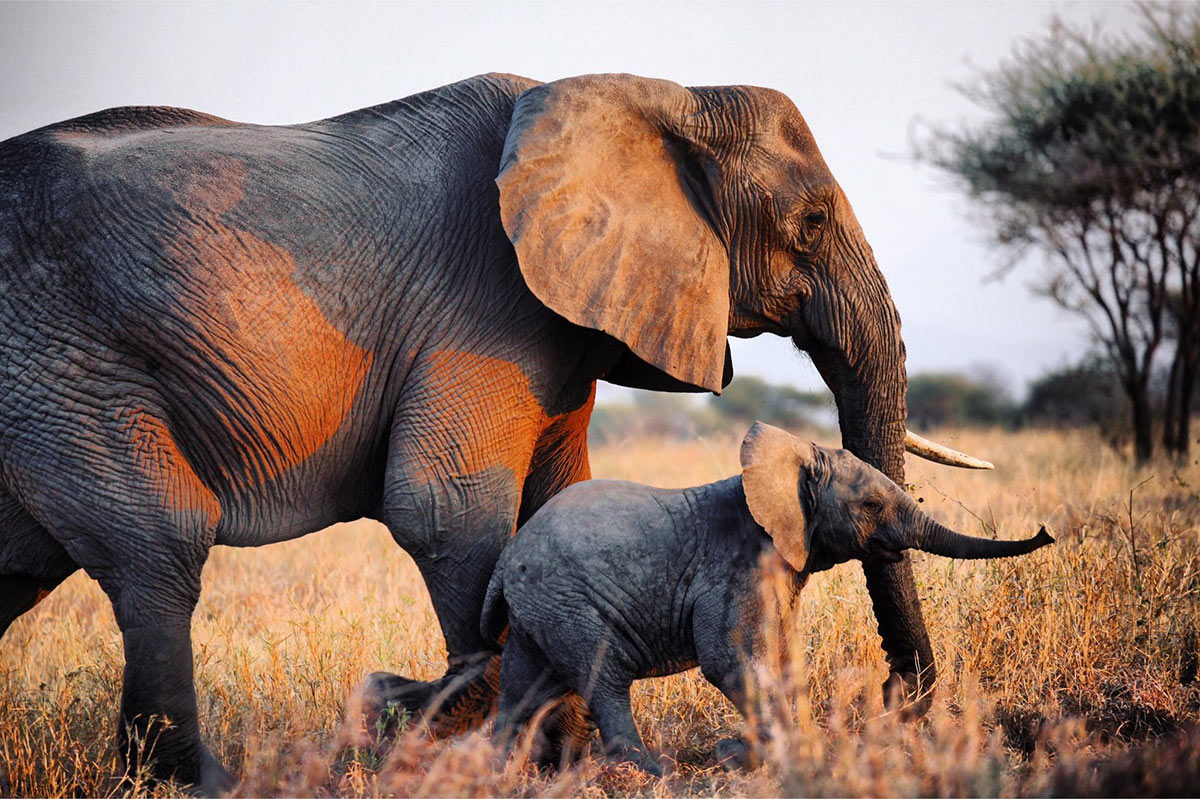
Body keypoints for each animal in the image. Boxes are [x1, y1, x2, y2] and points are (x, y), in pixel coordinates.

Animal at [0, 73, 990, 791]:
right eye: (810, 224)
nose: (899, 698)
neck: (658, 96)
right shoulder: (485, 308)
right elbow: (444, 506)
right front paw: (476, 733)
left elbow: (558, 500)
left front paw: (539, 747)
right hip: (61, 362)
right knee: (159, 542)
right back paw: (203, 781)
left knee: (23, 568)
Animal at [483, 422, 1052, 775]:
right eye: (871, 504)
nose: (1046, 532)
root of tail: (507, 560)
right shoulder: (733, 569)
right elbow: (727, 659)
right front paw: (763, 755)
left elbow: (780, 657)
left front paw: (770, 749)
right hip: (568, 602)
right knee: (602, 677)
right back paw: (651, 769)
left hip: (540, 611)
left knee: (524, 687)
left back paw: (496, 765)